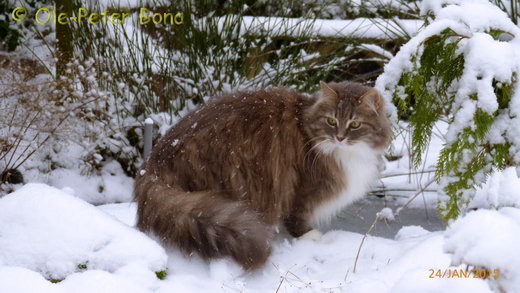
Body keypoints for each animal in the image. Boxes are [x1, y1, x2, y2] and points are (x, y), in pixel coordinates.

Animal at [134, 81, 390, 268]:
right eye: (331, 121)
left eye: (355, 125)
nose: (340, 137)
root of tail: (152, 164)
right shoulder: (303, 190)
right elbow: (297, 218)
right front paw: (310, 237)